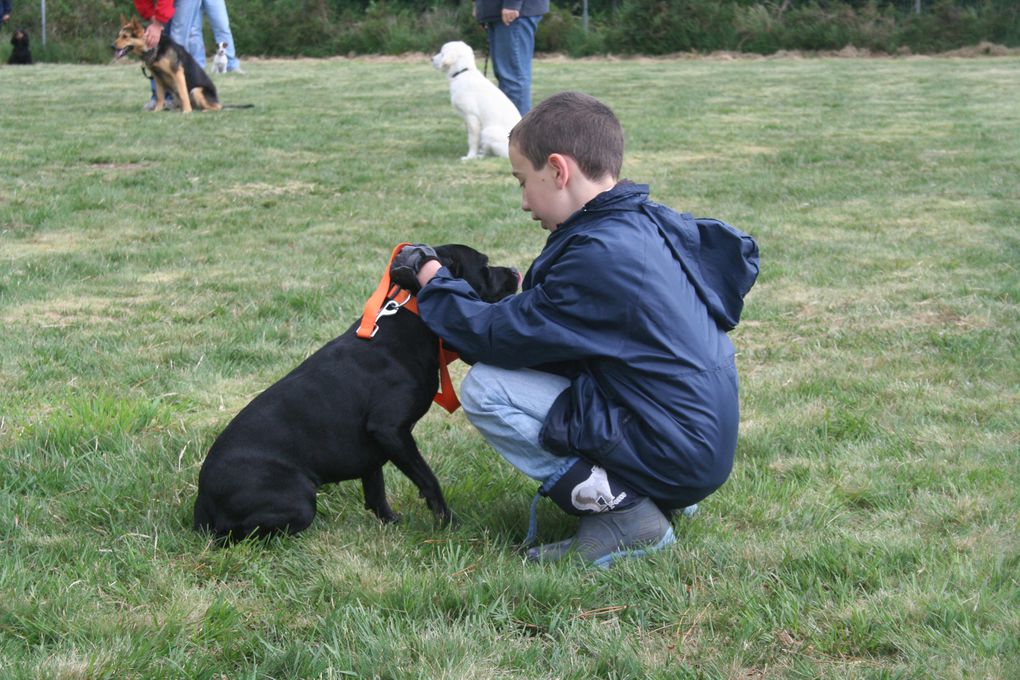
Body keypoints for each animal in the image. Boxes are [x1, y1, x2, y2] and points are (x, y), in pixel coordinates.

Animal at [193, 244, 522, 542]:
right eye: (485, 265)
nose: (515, 270)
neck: (412, 318)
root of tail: (202, 503)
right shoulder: (391, 430)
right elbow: (428, 480)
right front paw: (448, 523)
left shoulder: (375, 450)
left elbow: (376, 494)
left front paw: (393, 524)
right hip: (299, 499)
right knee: (239, 535)